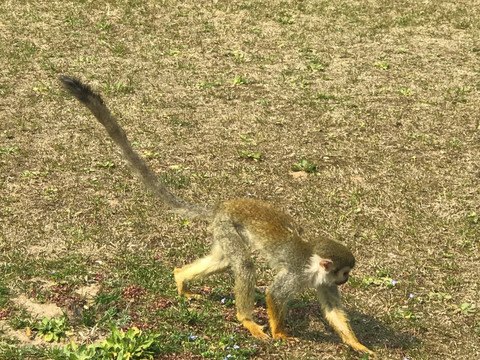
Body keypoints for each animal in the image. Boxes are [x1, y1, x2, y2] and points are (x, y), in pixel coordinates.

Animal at [60, 75, 376, 354]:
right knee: (244, 265)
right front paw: (281, 333)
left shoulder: (323, 282)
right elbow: (274, 294)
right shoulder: (297, 274)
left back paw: (180, 277)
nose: (346, 280)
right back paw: (247, 320)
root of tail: (220, 207)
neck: (313, 269)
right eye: (345, 272)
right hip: (228, 225)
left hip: (223, 230)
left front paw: (357, 344)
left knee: (224, 260)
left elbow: (333, 311)